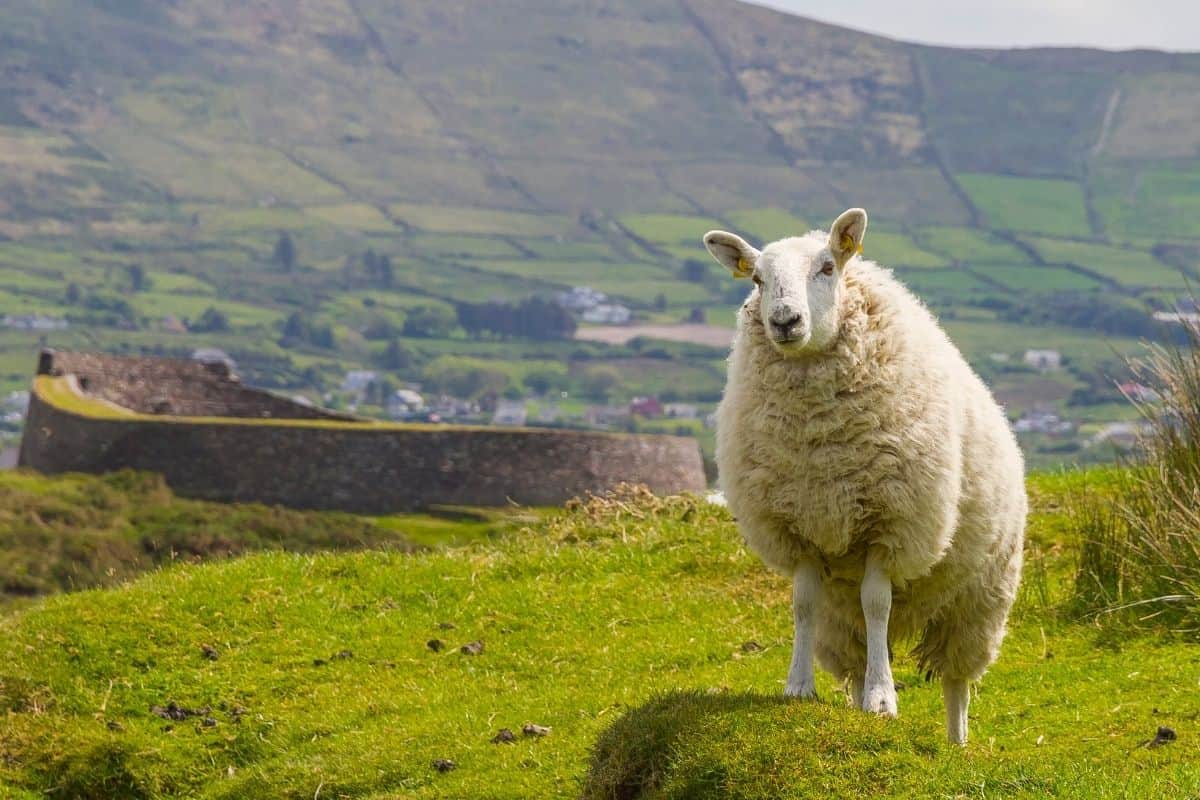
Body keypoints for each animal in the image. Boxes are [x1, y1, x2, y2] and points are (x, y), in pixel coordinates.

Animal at [702, 208, 1026, 744]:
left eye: (828, 267)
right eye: (756, 279)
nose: (785, 321)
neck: (819, 441)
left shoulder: (891, 527)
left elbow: (877, 603)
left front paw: (883, 699)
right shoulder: (797, 528)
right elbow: (802, 605)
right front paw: (799, 688)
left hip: (979, 598)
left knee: (956, 681)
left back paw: (956, 742)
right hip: (843, 619)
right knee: (855, 648)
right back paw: (856, 703)